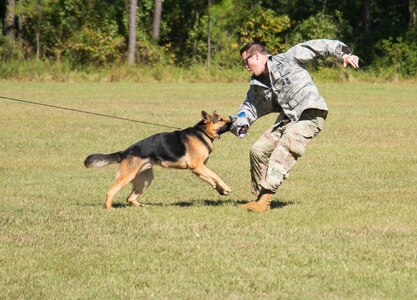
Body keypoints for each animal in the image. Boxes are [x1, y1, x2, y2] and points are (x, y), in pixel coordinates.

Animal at [83, 110, 232, 209]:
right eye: (220, 120)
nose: (232, 121)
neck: (202, 132)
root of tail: (124, 152)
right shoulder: (198, 166)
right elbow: (216, 176)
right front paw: (226, 187)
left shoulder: (197, 169)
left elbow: (210, 179)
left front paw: (220, 190)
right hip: (127, 177)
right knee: (110, 192)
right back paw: (110, 209)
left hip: (145, 180)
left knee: (130, 198)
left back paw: (143, 207)